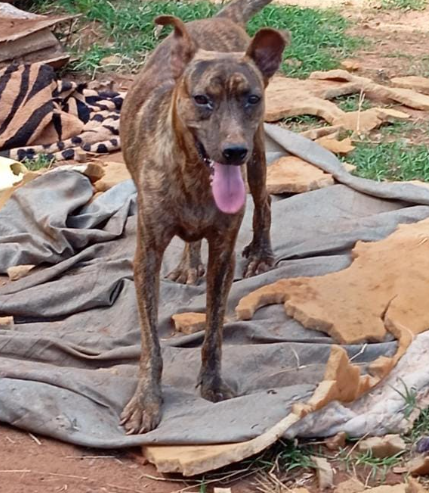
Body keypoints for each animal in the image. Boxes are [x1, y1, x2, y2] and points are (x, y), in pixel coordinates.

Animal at [118, 0, 290, 432]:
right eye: (201, 99)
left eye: (251, 97)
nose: (232, 152)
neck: (196, 178)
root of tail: (220, 18)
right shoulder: (146, 256)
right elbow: (151, 341)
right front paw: (147, 400)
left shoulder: (223, 254)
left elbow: (214, 330)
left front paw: (211, 384)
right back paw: (188, 264)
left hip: (258, 155)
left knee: (265, 201)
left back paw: (261, 253)